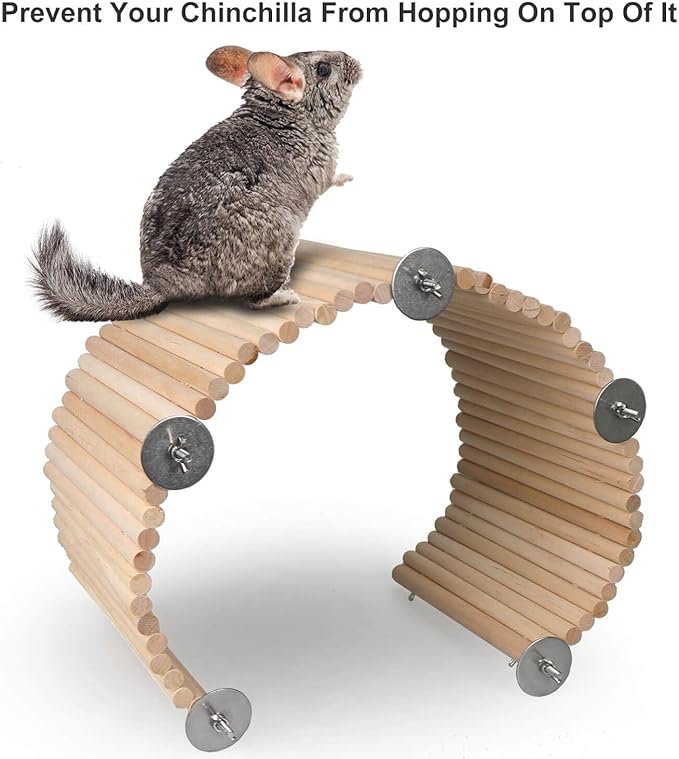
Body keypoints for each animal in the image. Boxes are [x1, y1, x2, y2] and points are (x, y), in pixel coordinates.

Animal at [30, 45, 362, 321]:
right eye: (323, 69)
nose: (354, 60)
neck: (282, 112)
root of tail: (163, 285)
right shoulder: (322, 166)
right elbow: (331, 179)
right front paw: (349, 178)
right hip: (280, 243)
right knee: (254, 300)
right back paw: (286, 297)